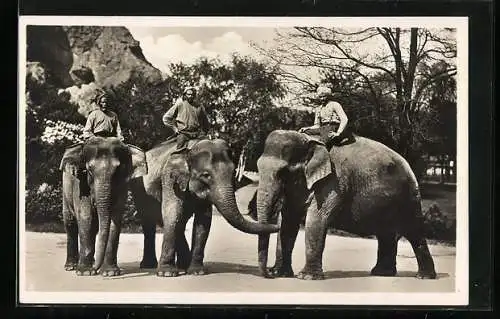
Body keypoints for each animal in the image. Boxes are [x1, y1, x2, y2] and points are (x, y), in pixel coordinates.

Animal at [59, 138, 147, 278]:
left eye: (117, 170)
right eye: (89, 170)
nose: (96, 270)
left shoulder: (122, 186)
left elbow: (115, 220)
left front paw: (110, 272)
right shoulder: (81, 184)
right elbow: (86, 218)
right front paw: (85, 272)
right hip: (66, 187)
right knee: (70, 223)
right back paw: (71, 266)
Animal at [129, 137, 280, 278]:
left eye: (233, 173)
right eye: (206, 175)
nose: (278, 225)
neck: (189, 149)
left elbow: (203, 221)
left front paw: (197, 272)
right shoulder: (170, 179)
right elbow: (172, 212)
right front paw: (167, 273)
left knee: (180, 223)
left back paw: (183, 264)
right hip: (139, 190)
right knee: (149, 222)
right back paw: (149, 265)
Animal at [256, 129, 436, 280]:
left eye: (283, 172)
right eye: (258, 167)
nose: (268, 275)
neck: (311, 141)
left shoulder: (333, 182)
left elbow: (316, 220)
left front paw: (306, 277)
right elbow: (288, 222)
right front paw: (280, 273)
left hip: (409, 197)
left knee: (414, 232)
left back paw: (424, 277)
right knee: (387, 234)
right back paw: (382, 273)